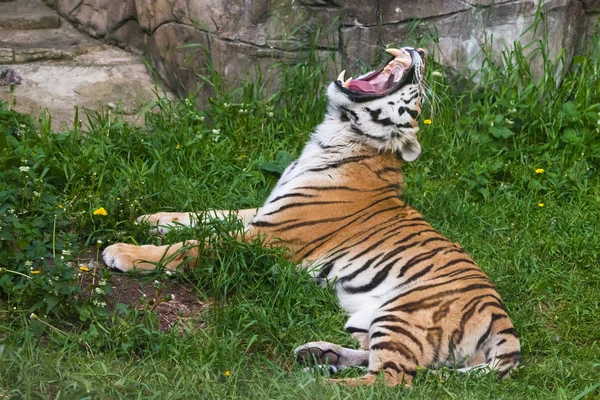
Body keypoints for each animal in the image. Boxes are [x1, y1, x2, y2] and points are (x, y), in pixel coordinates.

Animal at [103, 47, 520, 388]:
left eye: (416, 98)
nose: (422, 51)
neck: (335, 133)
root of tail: (506, 326)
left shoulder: (268, 236)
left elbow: (191, 247)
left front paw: (123, 252)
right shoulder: (263, 214)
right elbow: (204, 215)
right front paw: (147, 217)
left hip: (404, 313)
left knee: (391, 379)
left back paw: (311, 384)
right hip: (365, 319)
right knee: (379, 360)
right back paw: (319, 355)